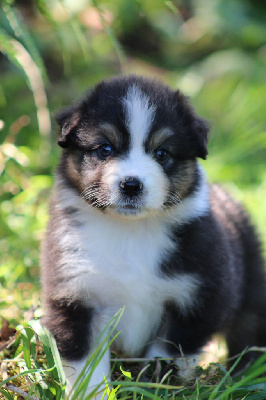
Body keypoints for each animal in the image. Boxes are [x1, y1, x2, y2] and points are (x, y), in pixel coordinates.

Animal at [41, 74, 266, 396]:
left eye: (162, 153)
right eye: (105, 149)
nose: (131, 185)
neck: (130, 232)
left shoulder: (198, 296)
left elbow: (168, 355)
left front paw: (158, 387)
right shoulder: (76, 296)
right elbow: (86, 364)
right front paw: (91, 393)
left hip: (251, 290)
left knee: (249, 335)